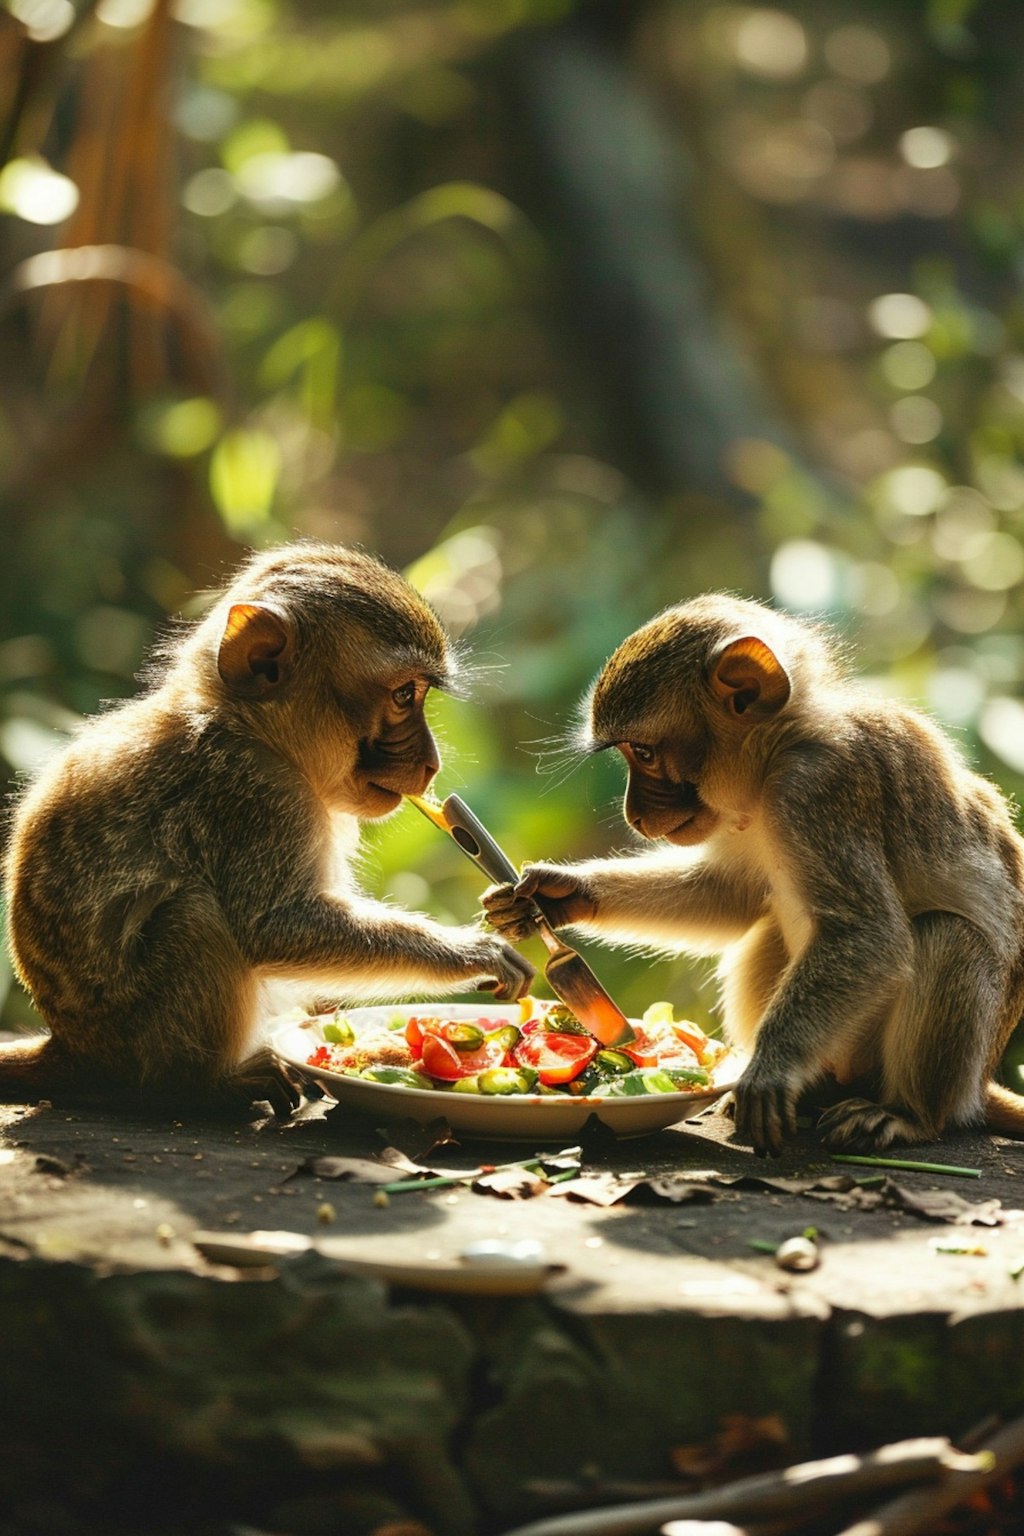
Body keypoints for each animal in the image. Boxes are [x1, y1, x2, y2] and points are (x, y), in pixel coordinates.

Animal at [2, 543, 537, 1118]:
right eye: (402, 696)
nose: (432, 763)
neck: (250, 728)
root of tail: (75, 1049)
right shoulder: (257, 796)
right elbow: (273, 926)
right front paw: (472, 953)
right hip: (137, 1039)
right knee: (194, 916)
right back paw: (197, 1085)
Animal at [485, 592, 1024, 1155]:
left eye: (645, 753)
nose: (634, 814)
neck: (779, 750)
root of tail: (979, 1085)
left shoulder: (816, 787)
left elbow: (867, 934)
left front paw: (770, 1071)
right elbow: (730, 895)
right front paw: (560, 894)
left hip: (939, 1074)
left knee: (947, 935)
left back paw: (909, 1114)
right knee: (766, 931)